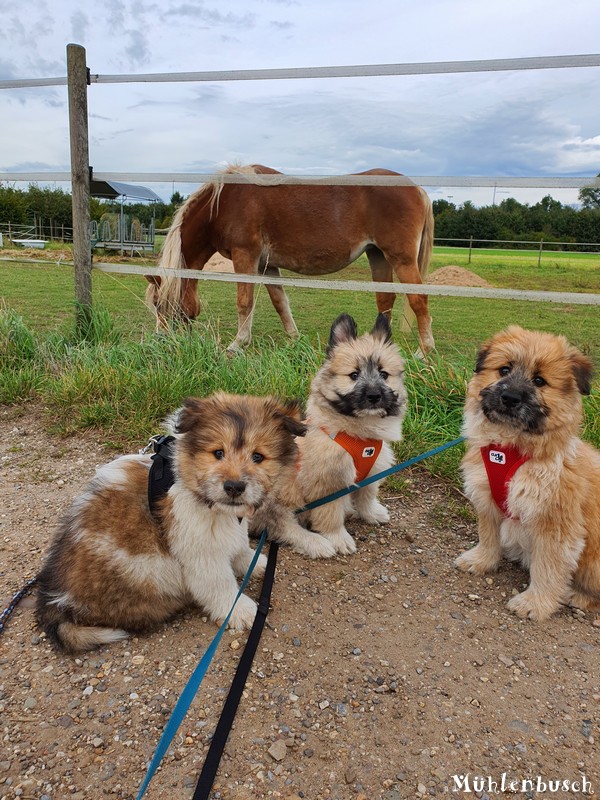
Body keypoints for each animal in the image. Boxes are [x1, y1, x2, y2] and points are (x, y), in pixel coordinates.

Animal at [35, 392, 308, 648]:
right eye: (218, 453)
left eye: (258, 457)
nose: (234, 487)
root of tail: (55, 603)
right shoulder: (198, 546)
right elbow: (219, 583)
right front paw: (242, 611)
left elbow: (238, 543)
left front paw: (253, 562)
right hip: (148, 571)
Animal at [148, 164, 434, 354]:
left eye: (159, 304)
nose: (160, 341)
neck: (222, 205)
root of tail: (418, 189)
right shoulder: (268, 265)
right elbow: (280, 302)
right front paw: (294, 340)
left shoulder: (245, 256)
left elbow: (244, 301)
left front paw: (237, 344)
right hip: (378, 255)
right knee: (385, 299)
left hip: (401, 259)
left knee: (418, 300)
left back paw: (424, 353)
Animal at [454, 324, 600, 620]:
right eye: (504, 370)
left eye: (540, 381)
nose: (509, 398)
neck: (511, 449)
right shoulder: (487, 498)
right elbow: (488, 535)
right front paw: (481, 560)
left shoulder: (555, 524)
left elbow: (548, 568)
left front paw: (535, 602)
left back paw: (577, 596)